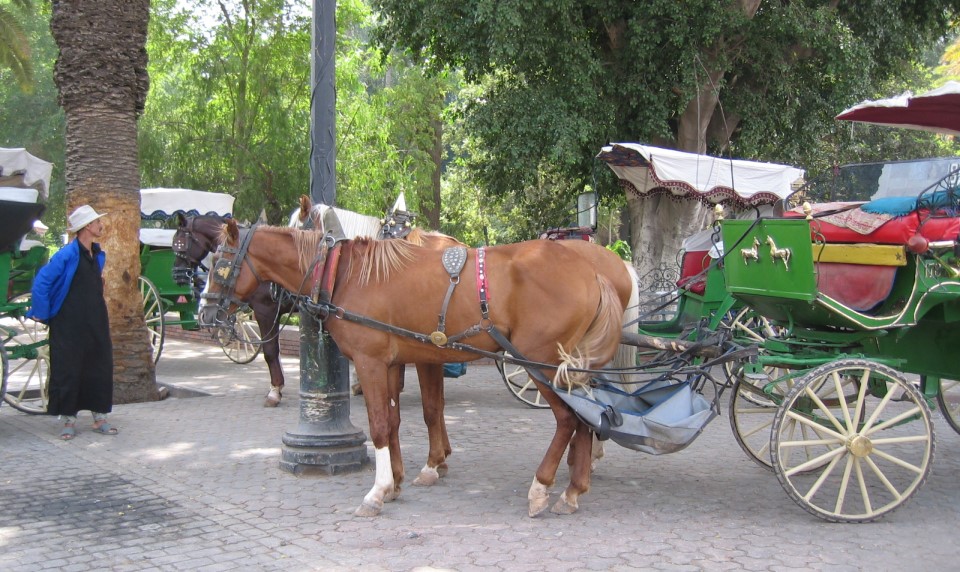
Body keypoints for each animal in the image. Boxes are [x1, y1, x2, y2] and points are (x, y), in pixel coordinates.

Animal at [199, 220, 632, 520]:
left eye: (220, 264)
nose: (204, 313)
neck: (345, 274)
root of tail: (593, 271)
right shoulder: (392, 363)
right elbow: (393, 422)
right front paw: (397, 481)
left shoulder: (371, 362)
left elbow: (378, 425)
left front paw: (377, 491)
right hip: (565, 366)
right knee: (585, 418)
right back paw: (573, 490)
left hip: (538, 362)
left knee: (567, 419)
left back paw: (541, 487)